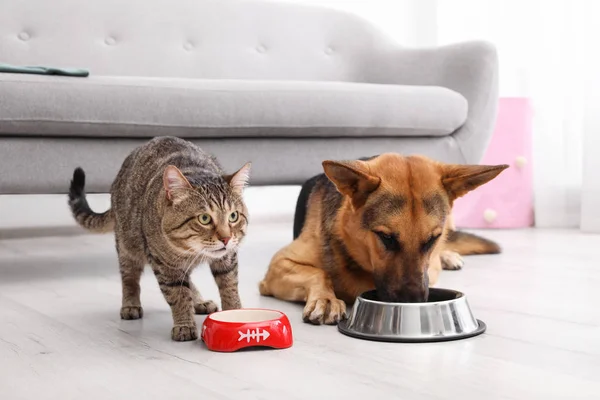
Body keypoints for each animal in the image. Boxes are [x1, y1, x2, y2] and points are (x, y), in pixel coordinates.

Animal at [68, 137, 251, 340]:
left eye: (233, 216)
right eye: (204, 218)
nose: (226, 238)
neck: (190, 251)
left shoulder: (228, 258)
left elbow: (229, 286)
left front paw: (235, 313)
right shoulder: (164, 265)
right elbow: (178, 295)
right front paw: (184, 324)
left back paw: (198, 301)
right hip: (127, 246)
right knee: (129, 277)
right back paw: (130, 304)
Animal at [258, 153, 506, 324]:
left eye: (432, 239)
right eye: (386, 237)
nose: (413, 304)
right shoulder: (277, 265)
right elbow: (318, 273)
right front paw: (325, 299)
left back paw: (448, 256)